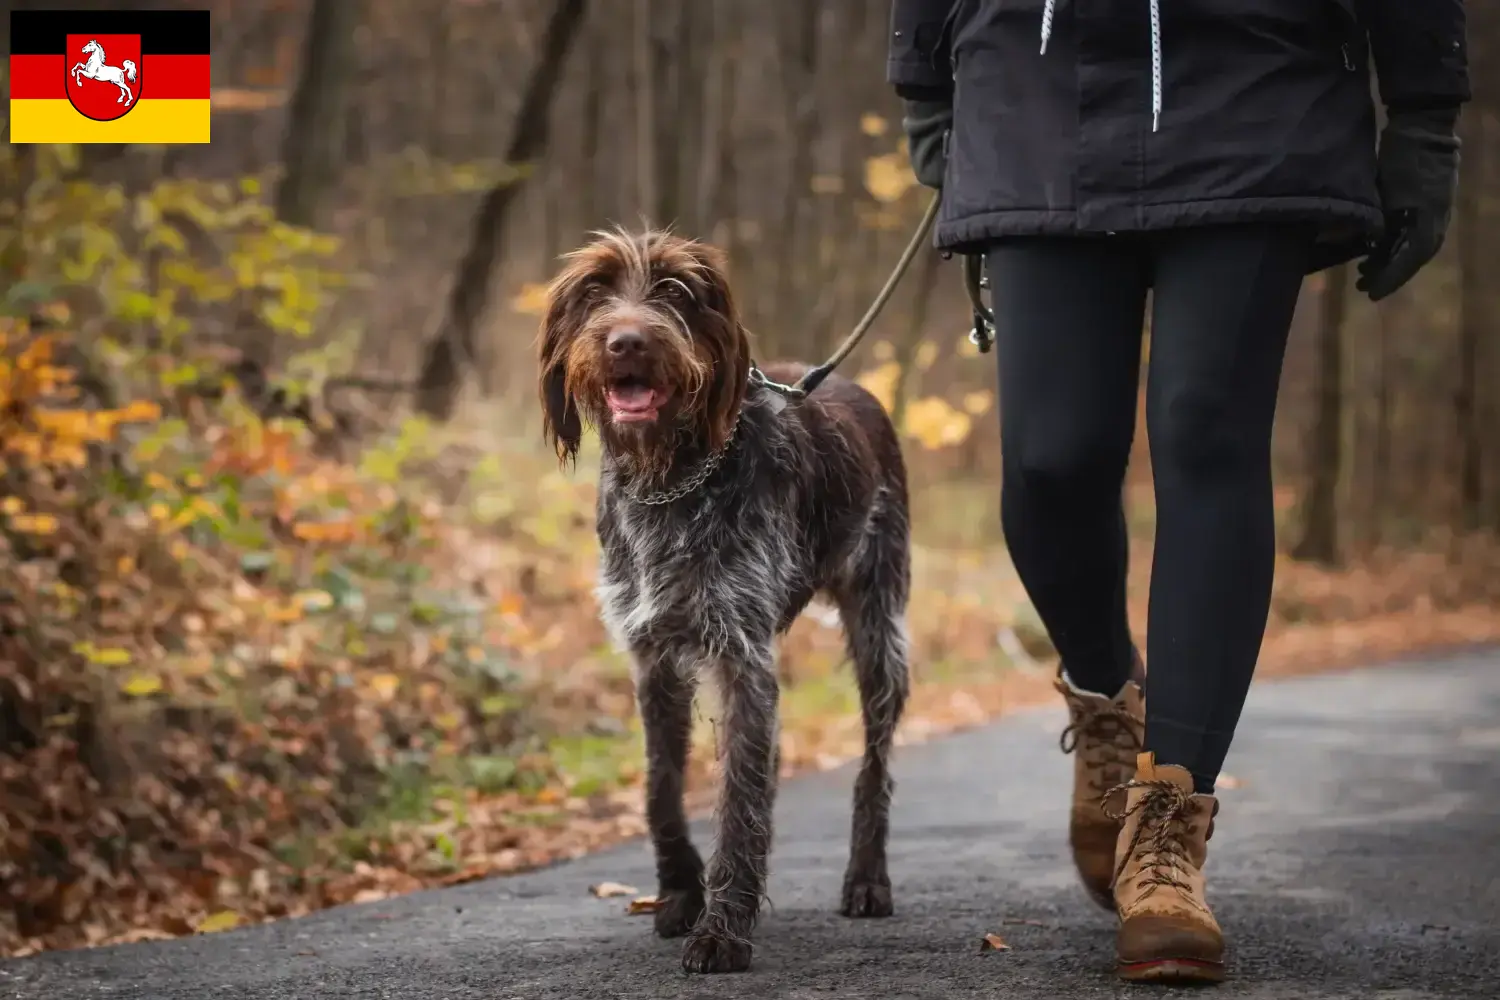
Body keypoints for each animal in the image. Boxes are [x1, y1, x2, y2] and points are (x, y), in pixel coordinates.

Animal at [540, 230, 912, 971]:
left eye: (676, 291)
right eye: (595, 291)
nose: (626, 342)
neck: (669, 481)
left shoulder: (740, 654)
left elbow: (738, 797)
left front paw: (724, 929)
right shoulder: (653, 656)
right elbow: (662, 787)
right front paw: (683, 894)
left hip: (880, 628)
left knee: (874, 766)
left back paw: (867, 878)